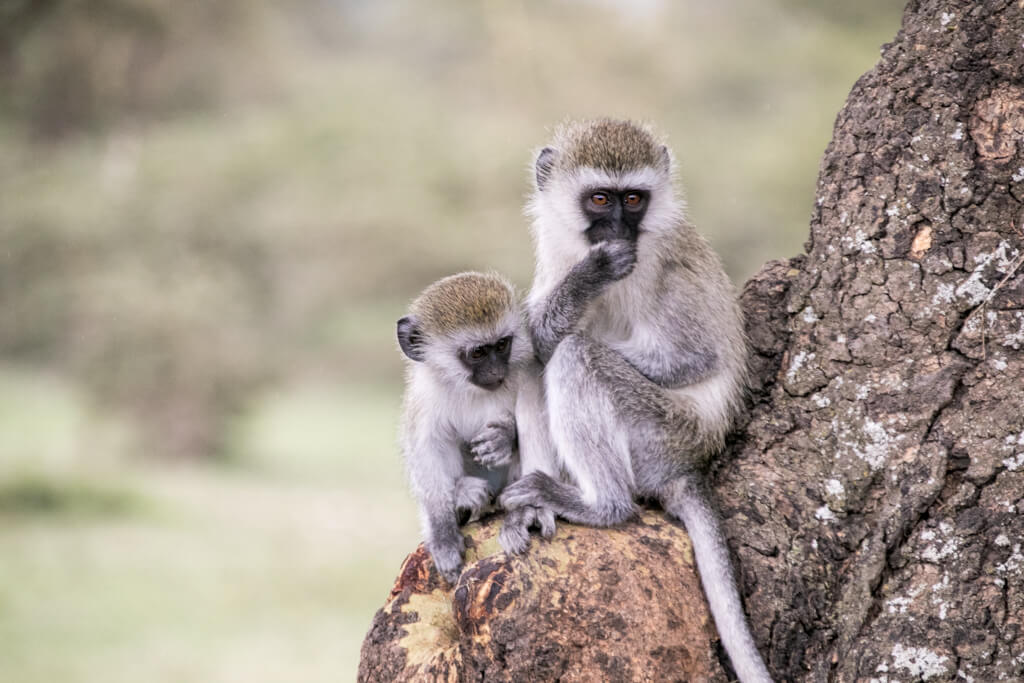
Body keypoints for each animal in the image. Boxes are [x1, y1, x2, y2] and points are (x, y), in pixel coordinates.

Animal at [395, 270, 552, 581]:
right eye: (478, 353)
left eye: (502, 345)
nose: (497, 371)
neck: (471, 390)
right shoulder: (423, 400)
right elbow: (427, 450)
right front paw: (442, 532)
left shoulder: (526, 368)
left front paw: (503, 437)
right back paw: (462, 497)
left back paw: (521, 510)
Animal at [499, 120, 770, 683]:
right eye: (601, 199)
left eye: (634, 199)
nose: (620, 232)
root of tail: (690, 460)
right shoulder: (559, 249)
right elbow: (535, 334)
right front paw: (588, 277)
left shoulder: (662, 265)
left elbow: (693, 359)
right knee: (536, 363)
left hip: (661, 433)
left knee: (572, 354)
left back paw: (602, 505)